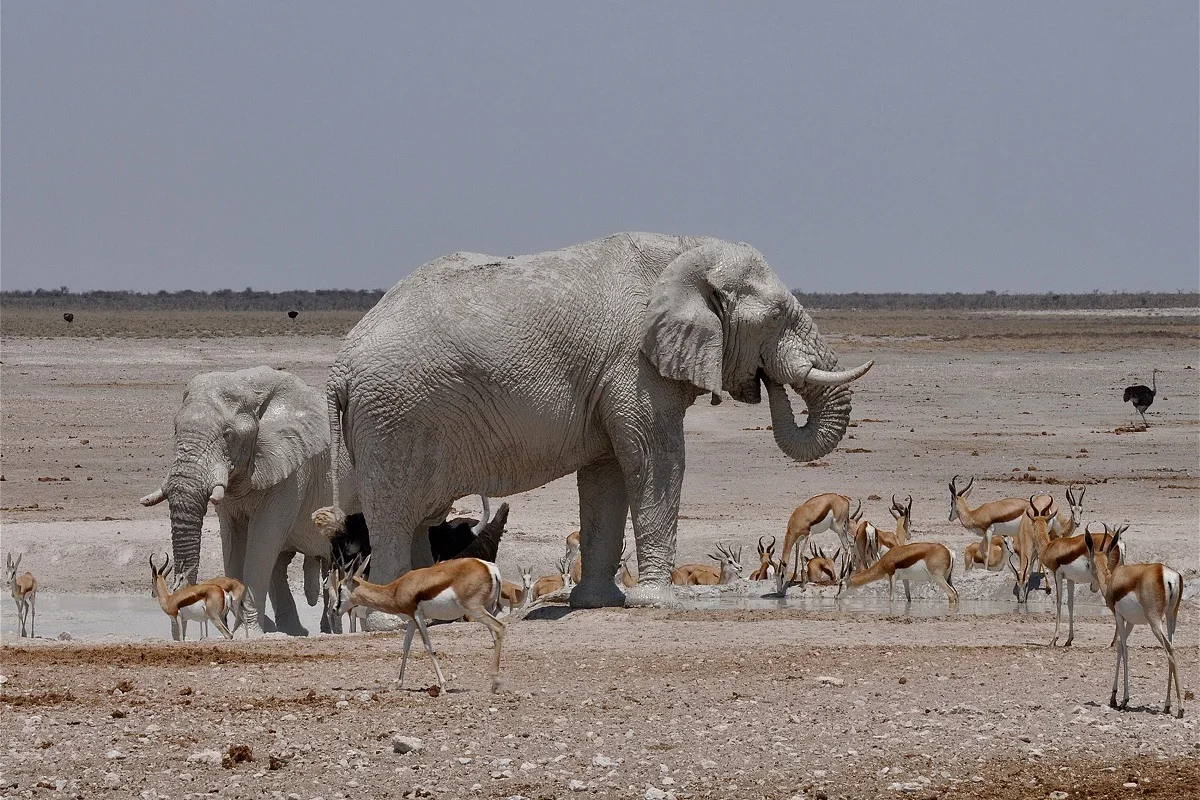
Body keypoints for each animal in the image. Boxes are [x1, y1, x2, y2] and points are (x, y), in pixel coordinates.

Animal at [141, 367, 355, 633]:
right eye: (175, 430)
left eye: (228, 435)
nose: (180, 584)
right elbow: (233, 541)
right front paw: (244, 628)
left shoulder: (292, 469)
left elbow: (262, 539)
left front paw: (250, 632)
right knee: (281, 564)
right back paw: (294, 631)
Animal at [321, 231, 873, 606]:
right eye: (776, 316)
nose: (768, 380)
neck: (686, 248)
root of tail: (340, 369)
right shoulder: (634, 364)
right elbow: (656, 461)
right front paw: (657, 601)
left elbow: (606, 475)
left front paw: (597, 603)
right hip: (392, 419)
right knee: (394, 516)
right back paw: (388, 616)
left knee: (418, 517)